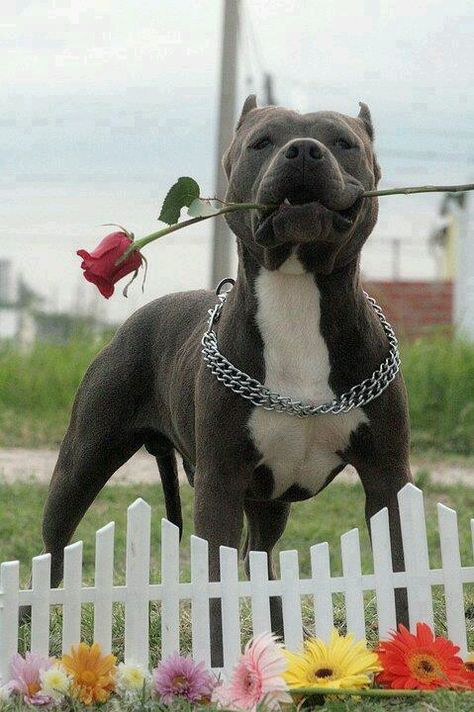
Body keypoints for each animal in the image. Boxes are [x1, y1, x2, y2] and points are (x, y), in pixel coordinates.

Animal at [40, 96, 412, 660]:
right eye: (262, 142)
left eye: (344, 142)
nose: (305, 150)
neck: (295, 293)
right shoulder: (220, 482)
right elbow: (215, 580)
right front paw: (217, 664)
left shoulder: (387, 476)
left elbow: (401, 573)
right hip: (83, 459)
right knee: (53, 550)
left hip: (268, 504)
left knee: (262, 557)